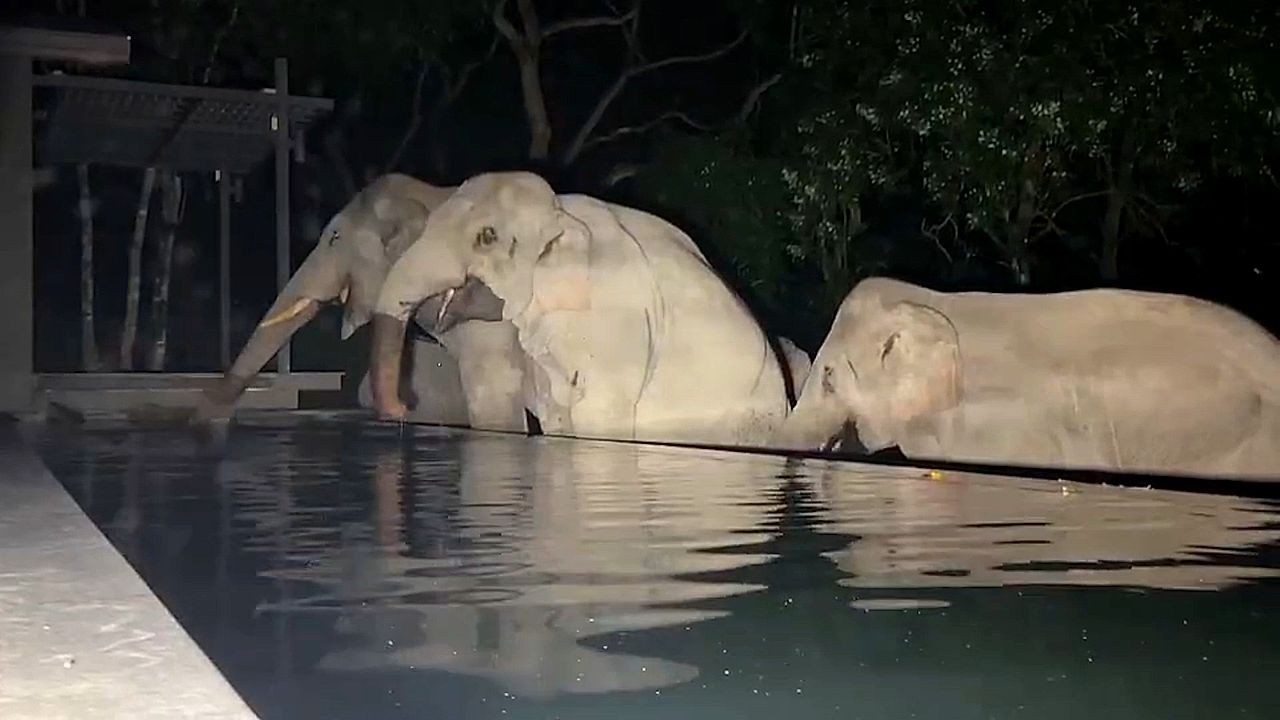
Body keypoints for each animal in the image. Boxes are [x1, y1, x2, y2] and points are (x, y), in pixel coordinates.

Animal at [367, 171, 791, 446]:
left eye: (486, 237)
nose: (405, 406)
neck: (561, 213)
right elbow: (557, 409)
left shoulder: (616, 320)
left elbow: (598, 413)